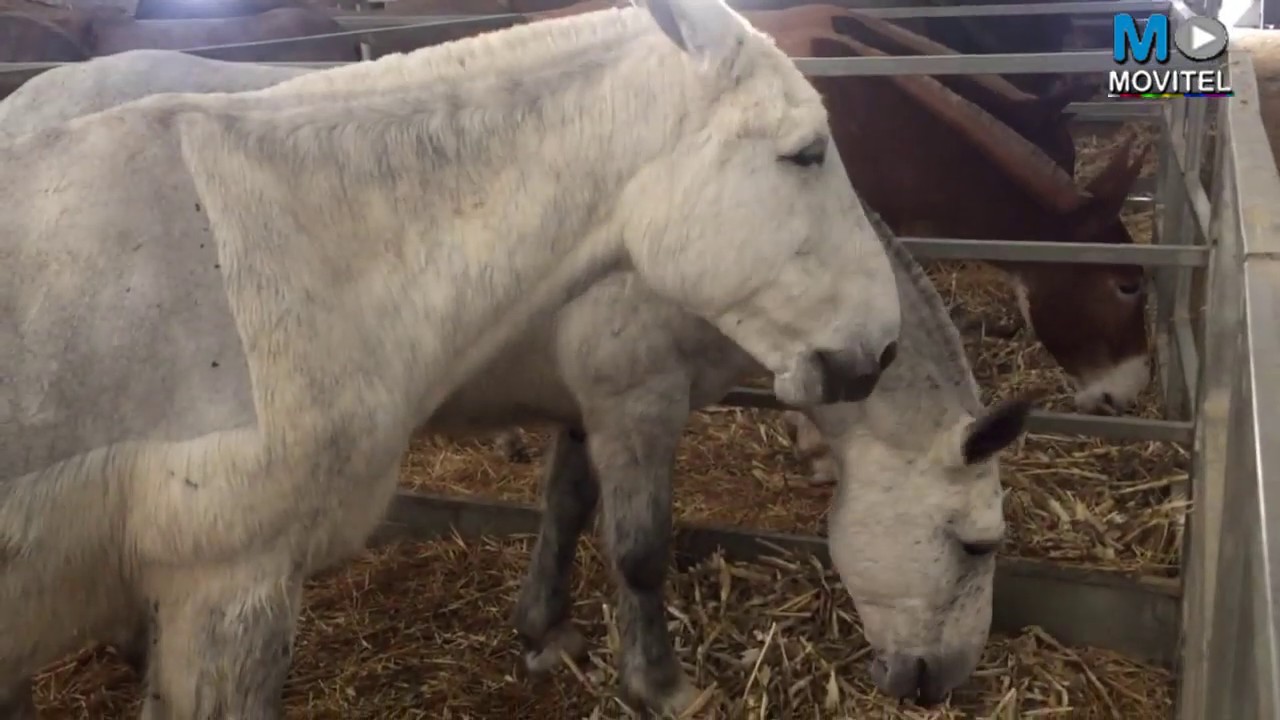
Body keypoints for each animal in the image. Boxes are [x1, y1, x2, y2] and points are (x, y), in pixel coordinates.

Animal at [0, 2, 903, 716]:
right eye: (806, 152)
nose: (881, 345)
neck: (275, 236)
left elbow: (571, 505)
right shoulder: (227, 586)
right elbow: (639, 548)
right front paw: (660, 685)